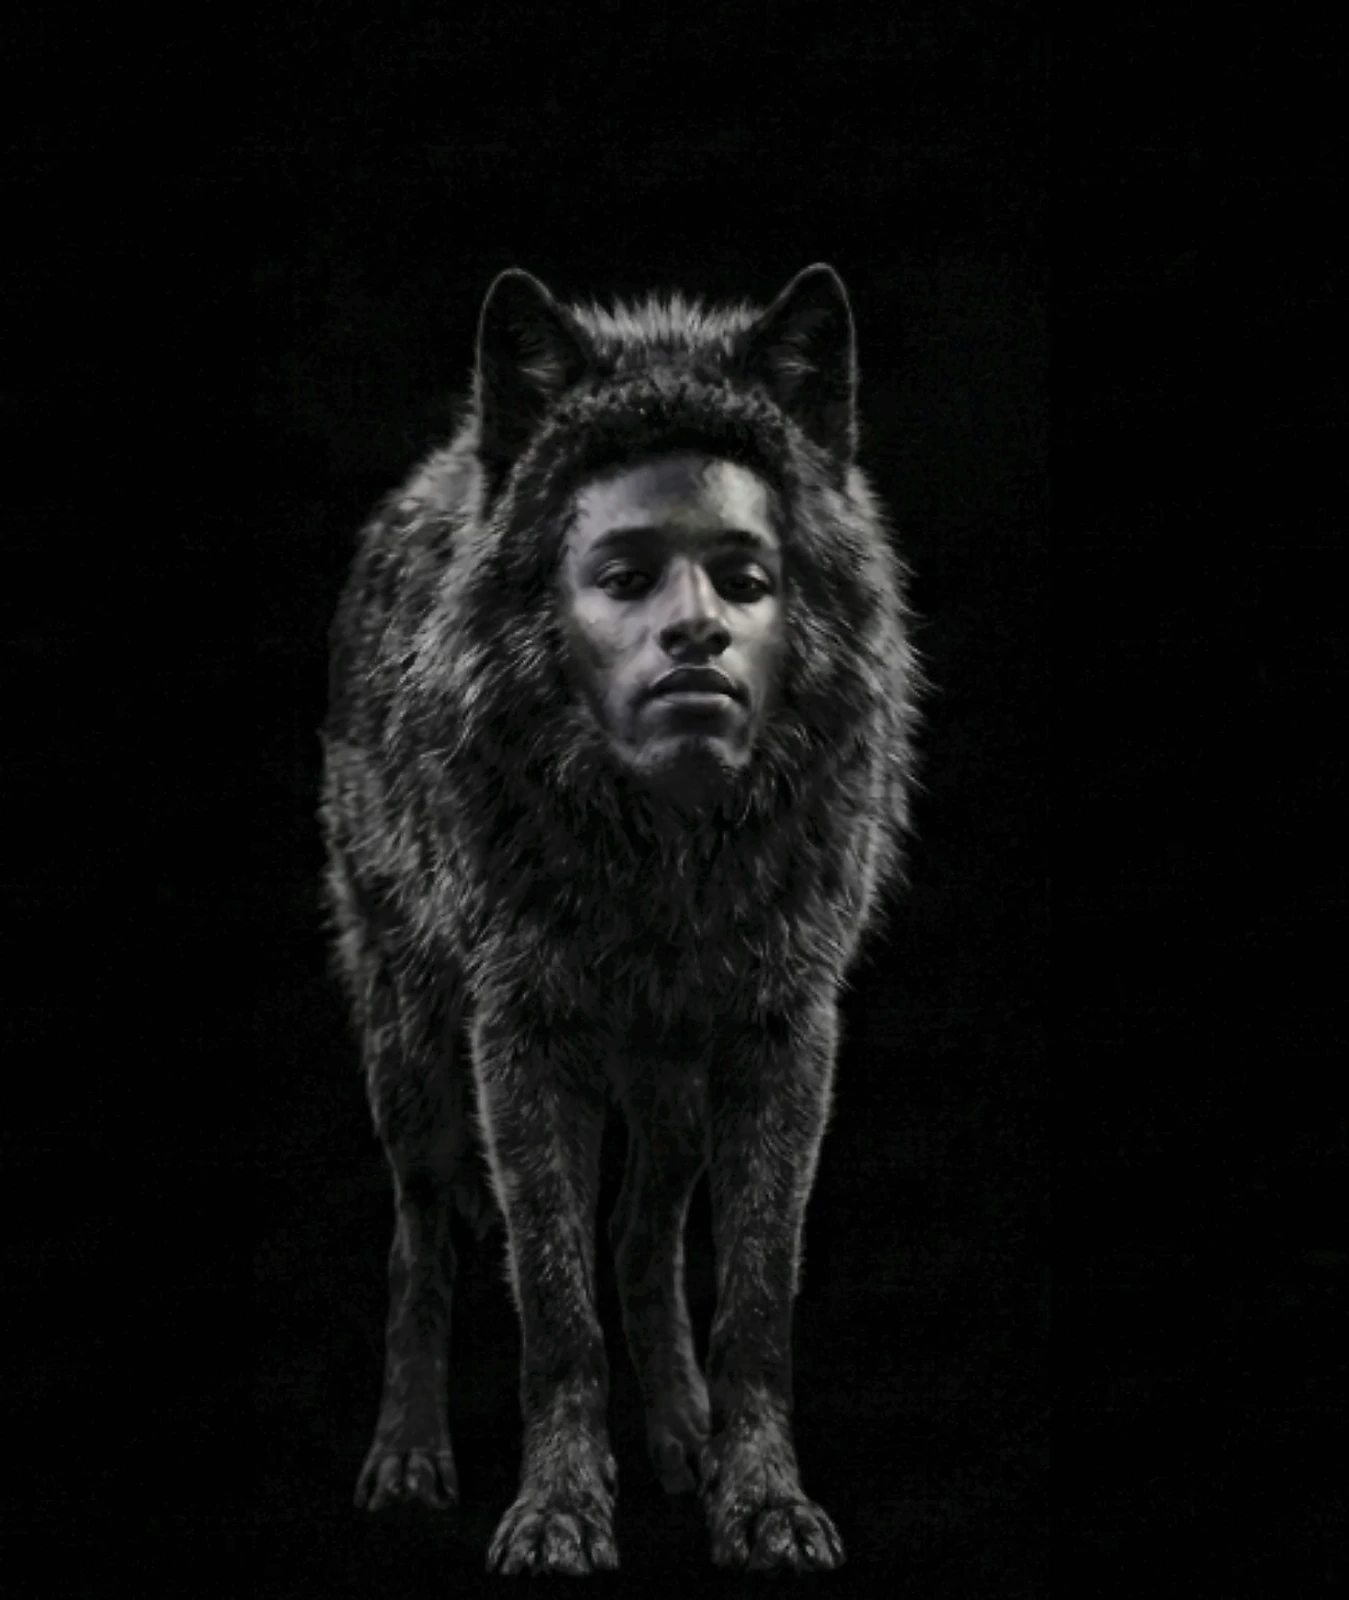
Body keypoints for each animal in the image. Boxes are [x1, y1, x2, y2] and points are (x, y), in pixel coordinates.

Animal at [319, 263, 919, 1573]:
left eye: (742, 578)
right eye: (627, 577)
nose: (696, 640)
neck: (668, 853)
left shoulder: (784, 1037)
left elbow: (751, 1299)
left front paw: (762, 1501)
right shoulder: (521, 1038)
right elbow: (552, 1304)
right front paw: (555, 1511)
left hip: (671, 1092)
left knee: (643, 1242)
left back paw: (683, 1439)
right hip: (413, 1059)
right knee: (419, 1238)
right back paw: (407, 1455)